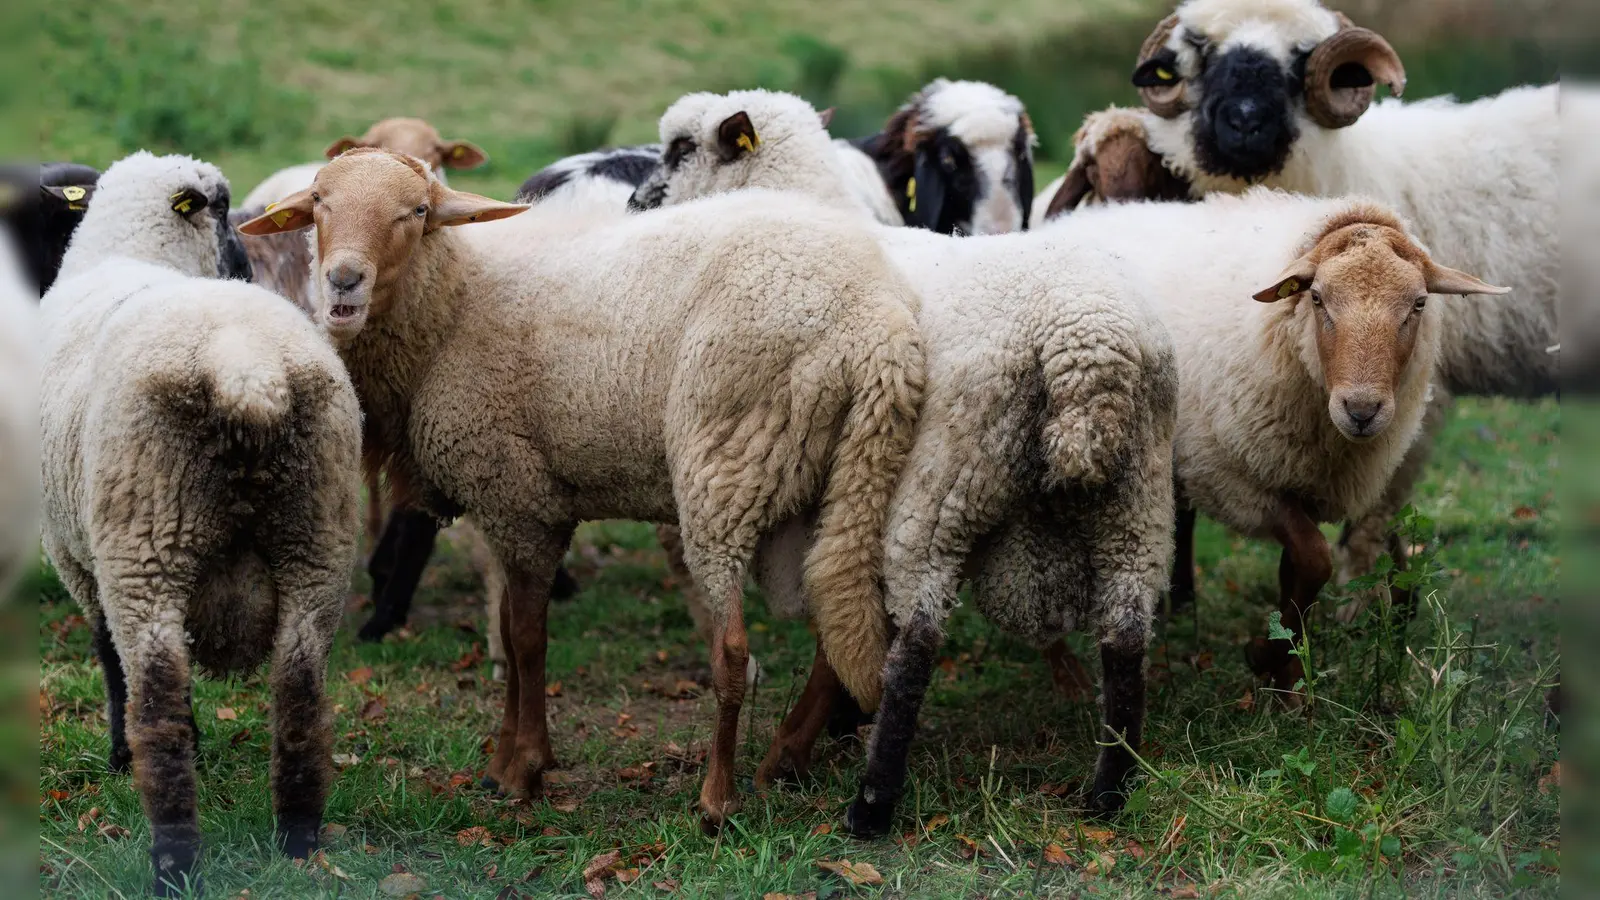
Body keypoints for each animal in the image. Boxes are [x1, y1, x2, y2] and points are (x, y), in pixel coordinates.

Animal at [38, 152, 366, 890]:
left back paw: (173, 864)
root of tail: (246, 373)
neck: (128, 249)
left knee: (157, 707)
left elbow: (109, 659)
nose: (246, 265)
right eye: (222, 209)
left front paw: (119, 757)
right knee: (300, 697)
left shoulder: (81, 559)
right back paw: (299, 842)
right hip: (317, 540)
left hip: (147, 542)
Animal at [243, 147, 934, 826]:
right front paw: (507, 762)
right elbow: (510, 628)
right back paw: (784, 759)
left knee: (735, 649)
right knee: (836, 629)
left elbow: (526, 638)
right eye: (319, 204)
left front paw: (522, 769)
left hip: (726, 468)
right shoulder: (510, 503)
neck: (456, 301)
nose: (343, 280)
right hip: (844, 478)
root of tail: (878, 327)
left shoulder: (518, 496)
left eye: (415, 212)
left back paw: (718, 797)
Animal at [633, 89, 1177, 826]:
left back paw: (871, 804)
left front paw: (809, 742)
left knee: (918, 640)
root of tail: (1088, 345)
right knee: (1125, 637)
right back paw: (1107, 793)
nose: (636, 202)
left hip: (943, 484)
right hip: (1138, 498)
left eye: (682, 149)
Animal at [1120, 0, 1555, 608]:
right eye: (1201, 53)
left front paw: (1364, 601)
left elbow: (1373, 513)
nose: (1244, 122)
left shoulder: (1418, 396)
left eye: (1299, 60)